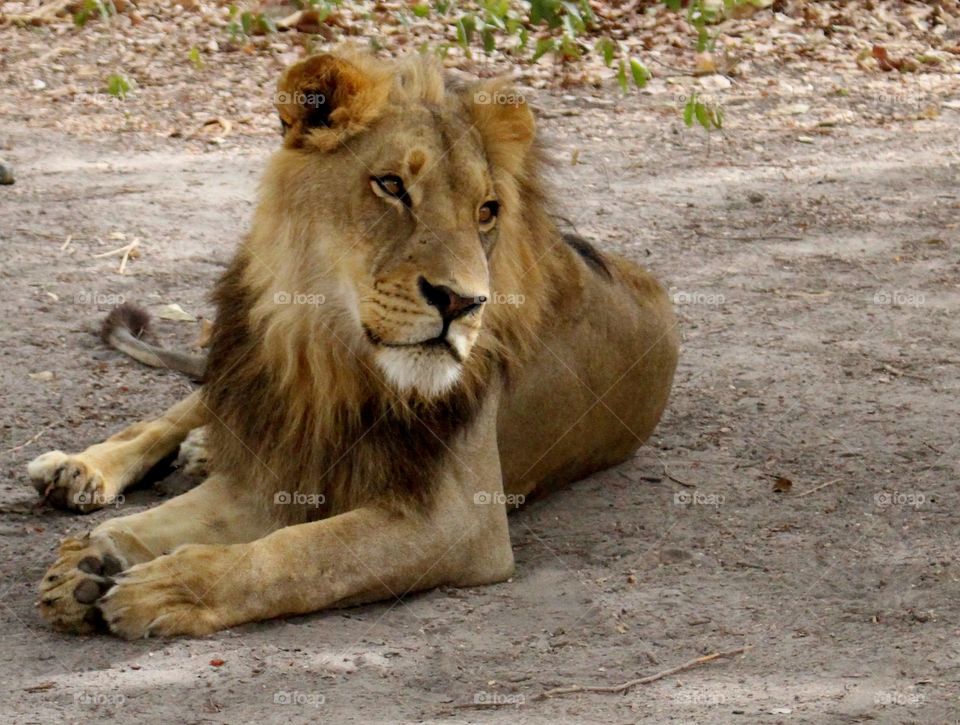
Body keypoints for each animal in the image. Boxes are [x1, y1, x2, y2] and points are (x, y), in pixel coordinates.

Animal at [27, 50, 679, 638]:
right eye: (391, 185)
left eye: (486, 211)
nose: (463, 303)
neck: (336, 359)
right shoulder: (271, 472)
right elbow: (172, 517)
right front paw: (92, 562)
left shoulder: (459, 522)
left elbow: (302, 554)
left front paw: (169, 586)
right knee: (169, 417)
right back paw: (80, 468)